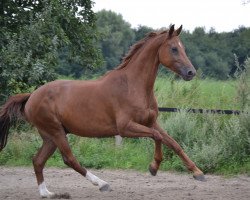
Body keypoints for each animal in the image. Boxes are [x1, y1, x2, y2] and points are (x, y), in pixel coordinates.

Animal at [0, 24, 204, 197]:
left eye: (183, 48)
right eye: (174, 48)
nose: (191, 72)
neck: (132, 86)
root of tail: (31, 96)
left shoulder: (151, 122)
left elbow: (173, 143)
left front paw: (198, 173)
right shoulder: (125, 128)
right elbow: (158, 137)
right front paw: (153, 167)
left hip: (50, 136)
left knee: (38, 160)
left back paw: (48, 194)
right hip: (56, 132)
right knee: (69, 159)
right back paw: (102, 184)